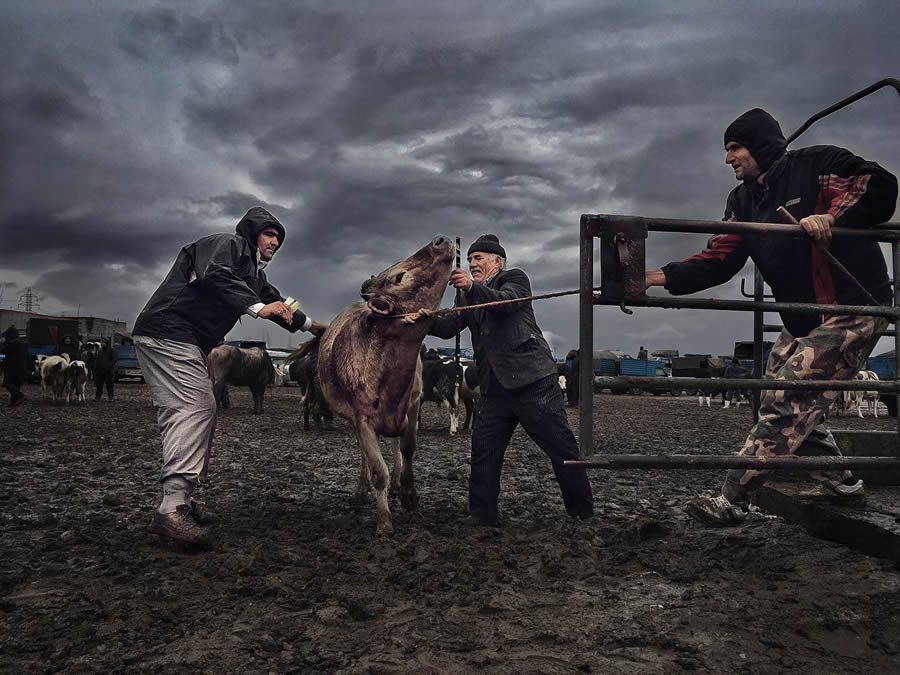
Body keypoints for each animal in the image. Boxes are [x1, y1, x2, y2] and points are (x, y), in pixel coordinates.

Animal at [308, 235, 458, 536]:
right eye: (399, 276)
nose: (440, 240)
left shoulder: (412, 404)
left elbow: (408, 448)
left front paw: (410, 495)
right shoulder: (362, 419)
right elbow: (378, 469)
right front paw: (384, 520)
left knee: (396, 445)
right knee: (365, 455)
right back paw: (361, 490)